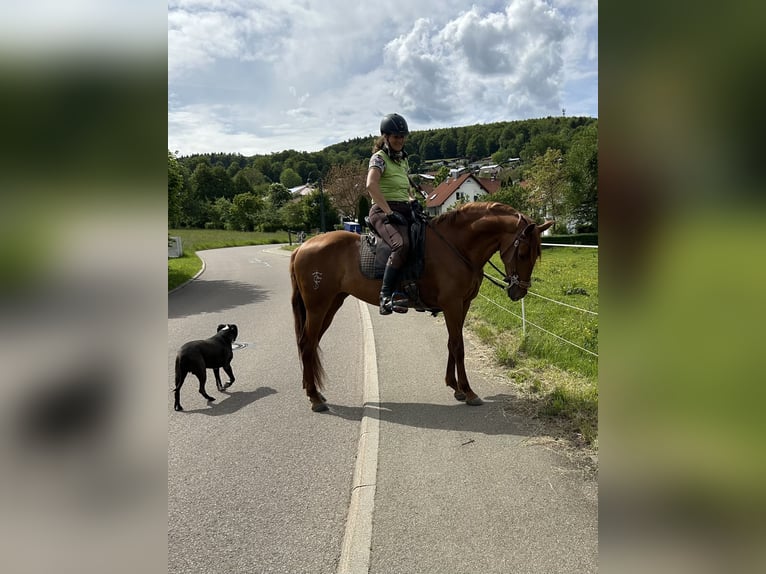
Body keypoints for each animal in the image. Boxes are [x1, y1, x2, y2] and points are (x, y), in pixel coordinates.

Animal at [292, 202, 556, 414]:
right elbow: (459, 346)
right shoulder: (452, 304)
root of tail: (301, 247)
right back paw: (315, 397)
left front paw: (455, 386)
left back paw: (313, 391)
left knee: (309, 344)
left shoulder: (463, 304)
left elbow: (452, 342)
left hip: (331, 304)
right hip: (317, 307)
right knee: (307, 343)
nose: (519, 291)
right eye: (523, 252)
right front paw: (468, 391)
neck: (457, 245)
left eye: (536, 253)